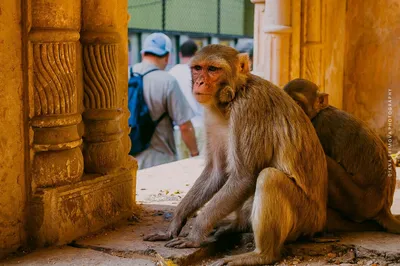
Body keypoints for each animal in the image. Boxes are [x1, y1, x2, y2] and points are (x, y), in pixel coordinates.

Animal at [282, 77, 400, 233]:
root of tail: (384, 207)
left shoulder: (316, 129)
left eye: (297, 103)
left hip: (359, 201)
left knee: (326, 163)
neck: (317, 114)